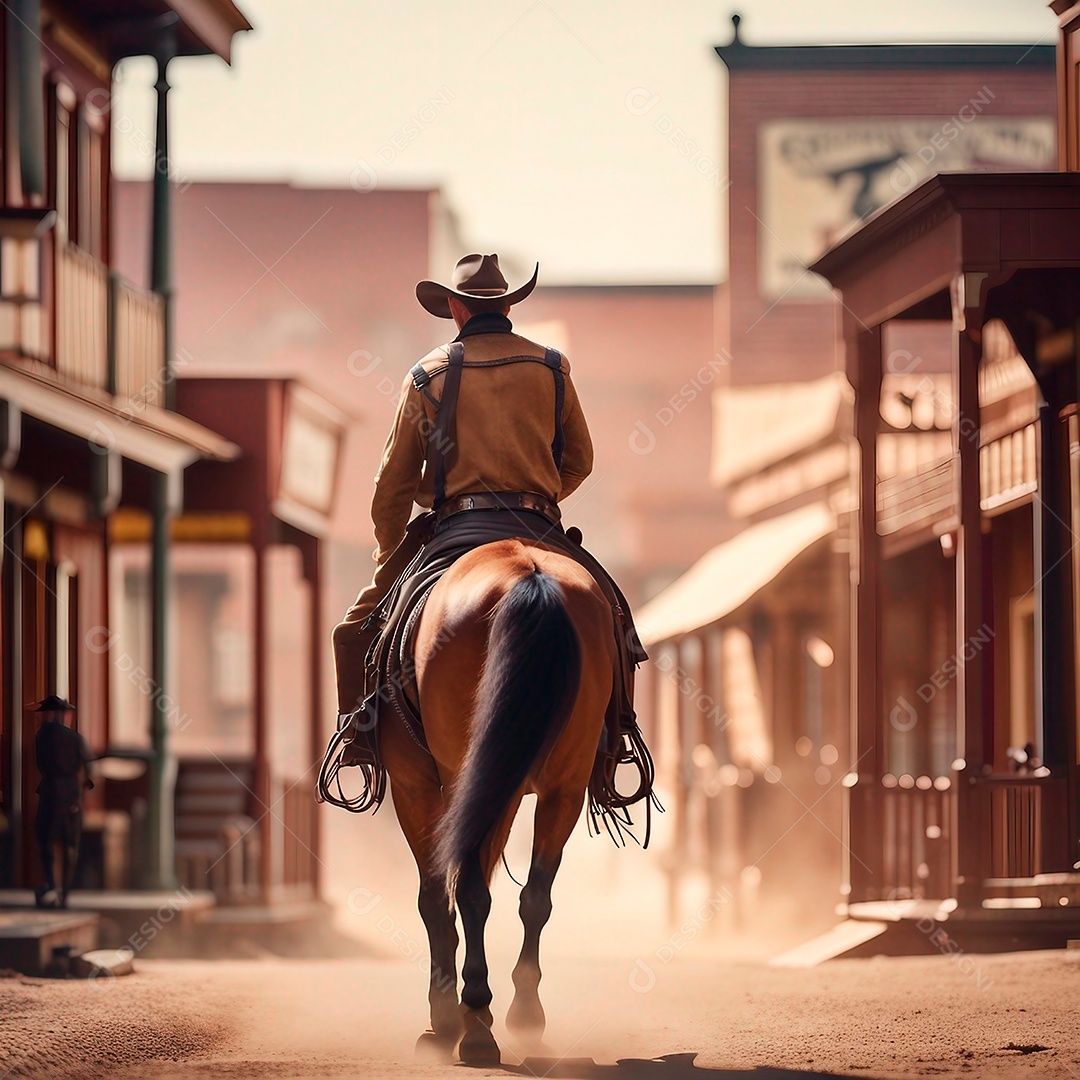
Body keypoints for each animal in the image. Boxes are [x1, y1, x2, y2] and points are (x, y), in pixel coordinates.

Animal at [380, 535, 617, 1067]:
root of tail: (529, 578)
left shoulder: (413, 785)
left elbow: (435, 897)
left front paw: (444, 1016)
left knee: (468, 890)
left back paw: (472, 1025)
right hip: (561, 785)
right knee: (534, 897)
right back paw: (522, 1014)